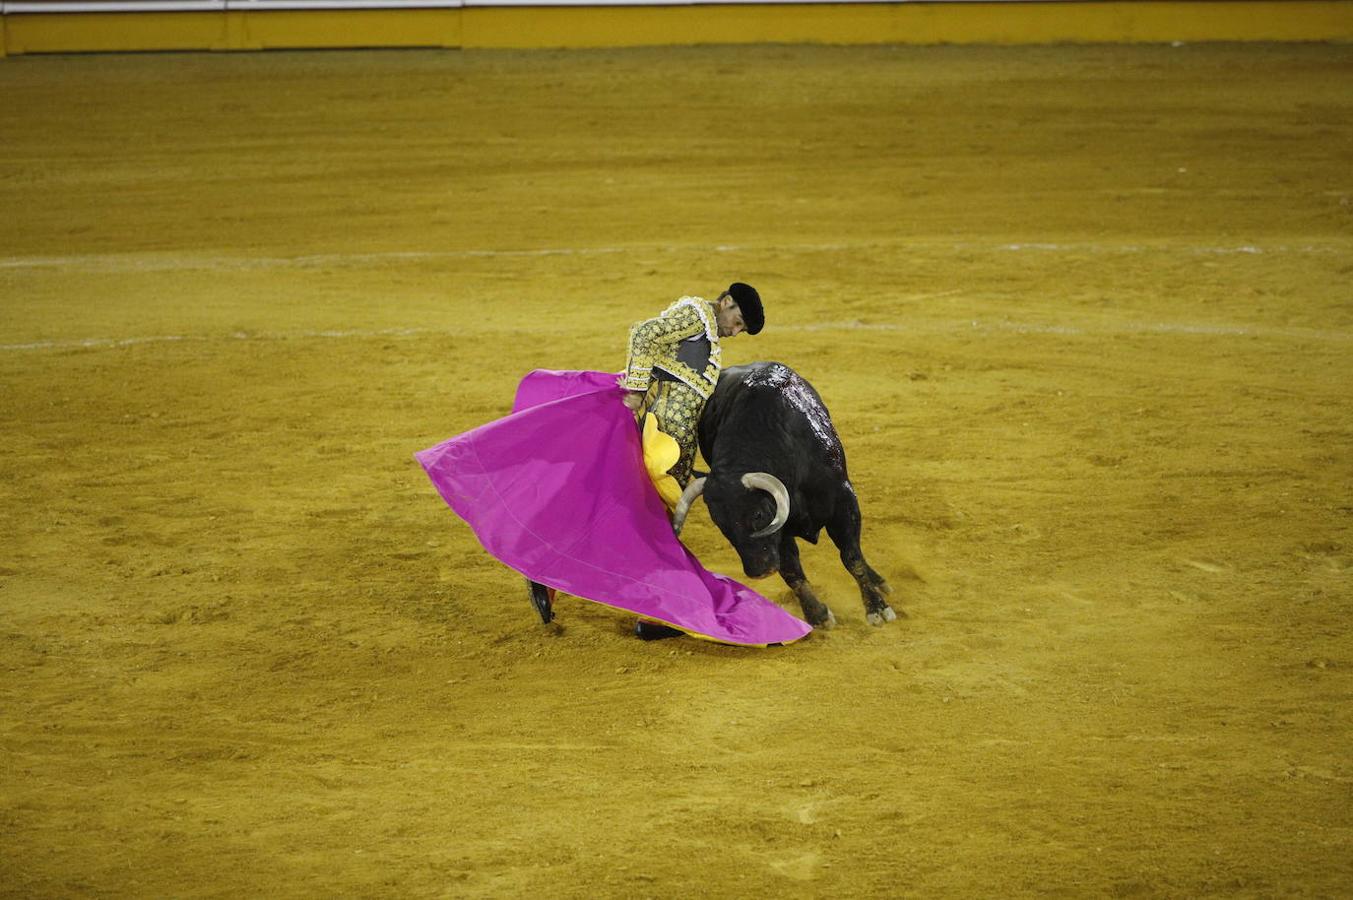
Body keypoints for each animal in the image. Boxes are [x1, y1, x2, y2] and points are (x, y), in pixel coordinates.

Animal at [527, 362, 898, 627]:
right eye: (722, 526)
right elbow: (792, 570)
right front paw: (817, 614)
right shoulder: (780, 531)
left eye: (758, 515)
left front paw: (876, 608)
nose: (758, 572)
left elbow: (852, 557)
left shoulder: (843, 501)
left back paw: (881, 583)